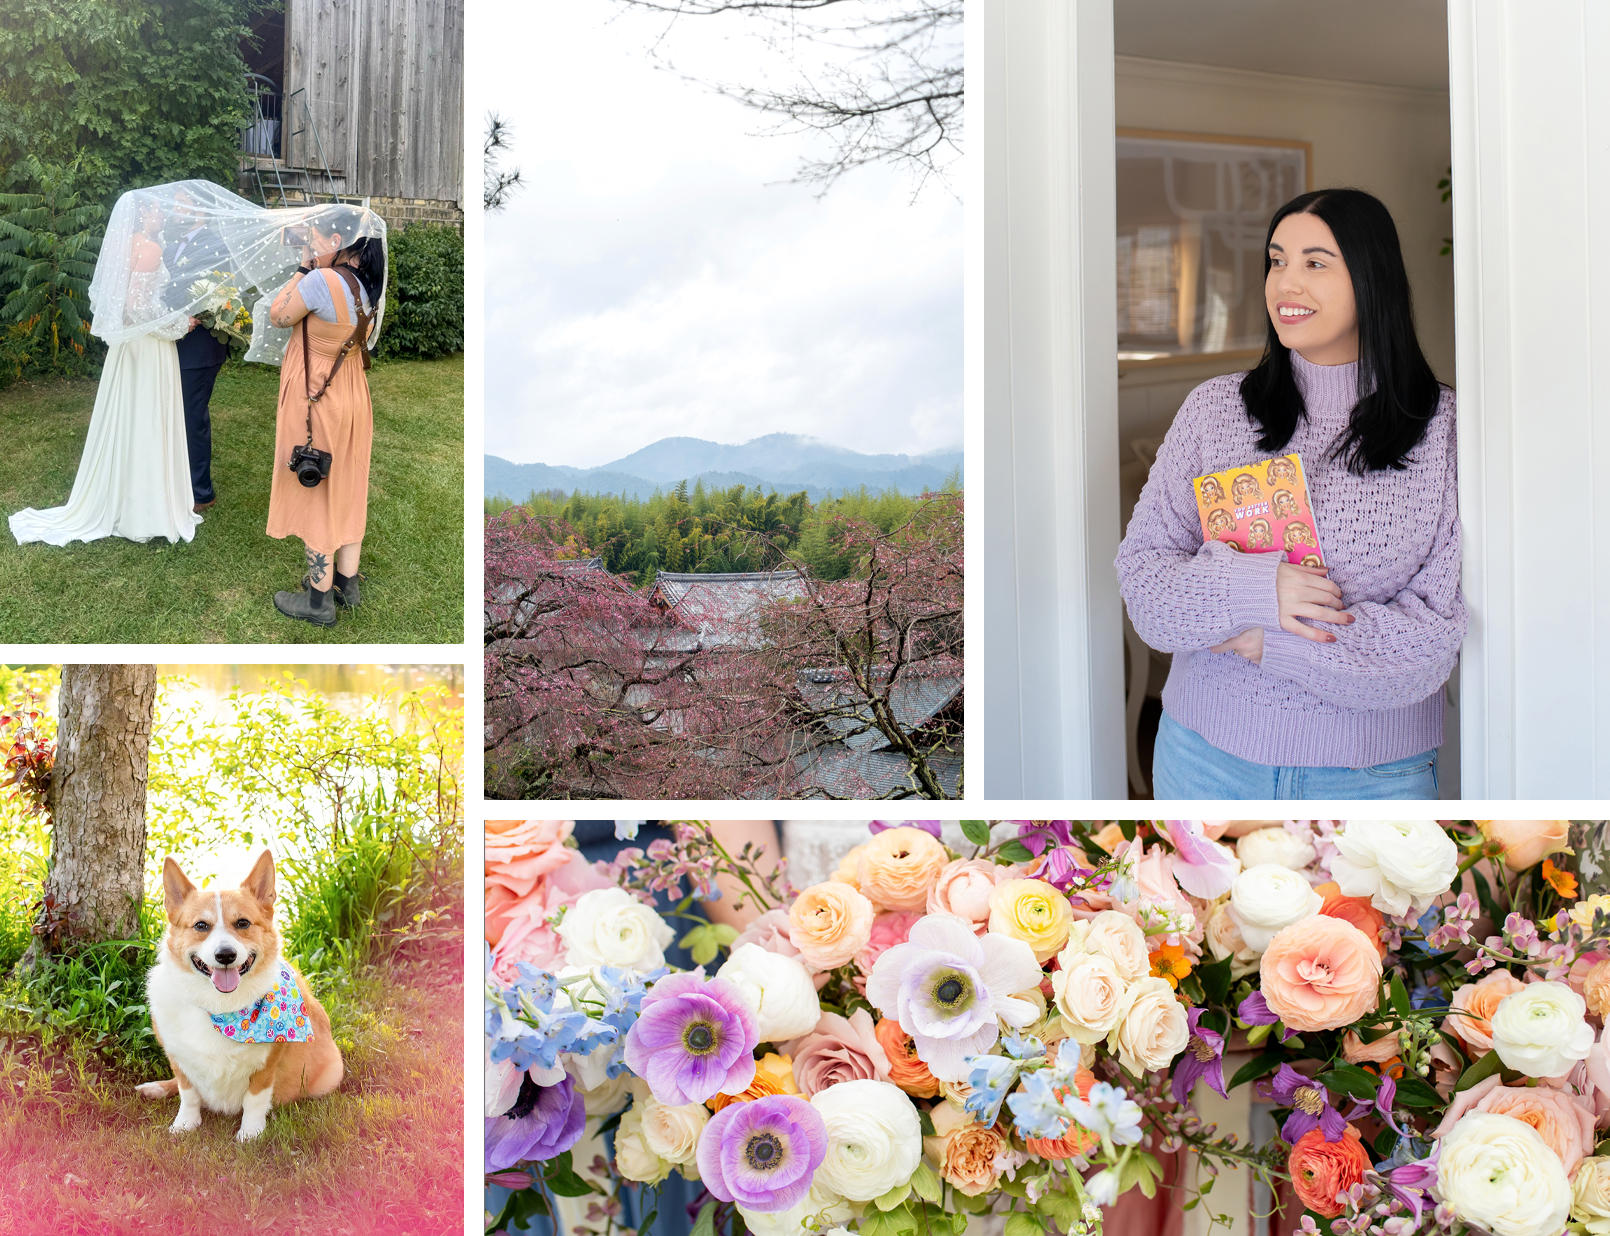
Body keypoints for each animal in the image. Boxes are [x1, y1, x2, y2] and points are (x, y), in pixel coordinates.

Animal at [137, 849, 342, 1139]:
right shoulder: (178, 1058)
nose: (225, 955)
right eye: (201, 926)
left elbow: (254, 1100)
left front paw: (250, 1134)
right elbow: (188, 1093)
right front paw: (185, 1125)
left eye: (243, 923)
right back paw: (155, 1088)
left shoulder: (267, 1065)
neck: (222, 1008)